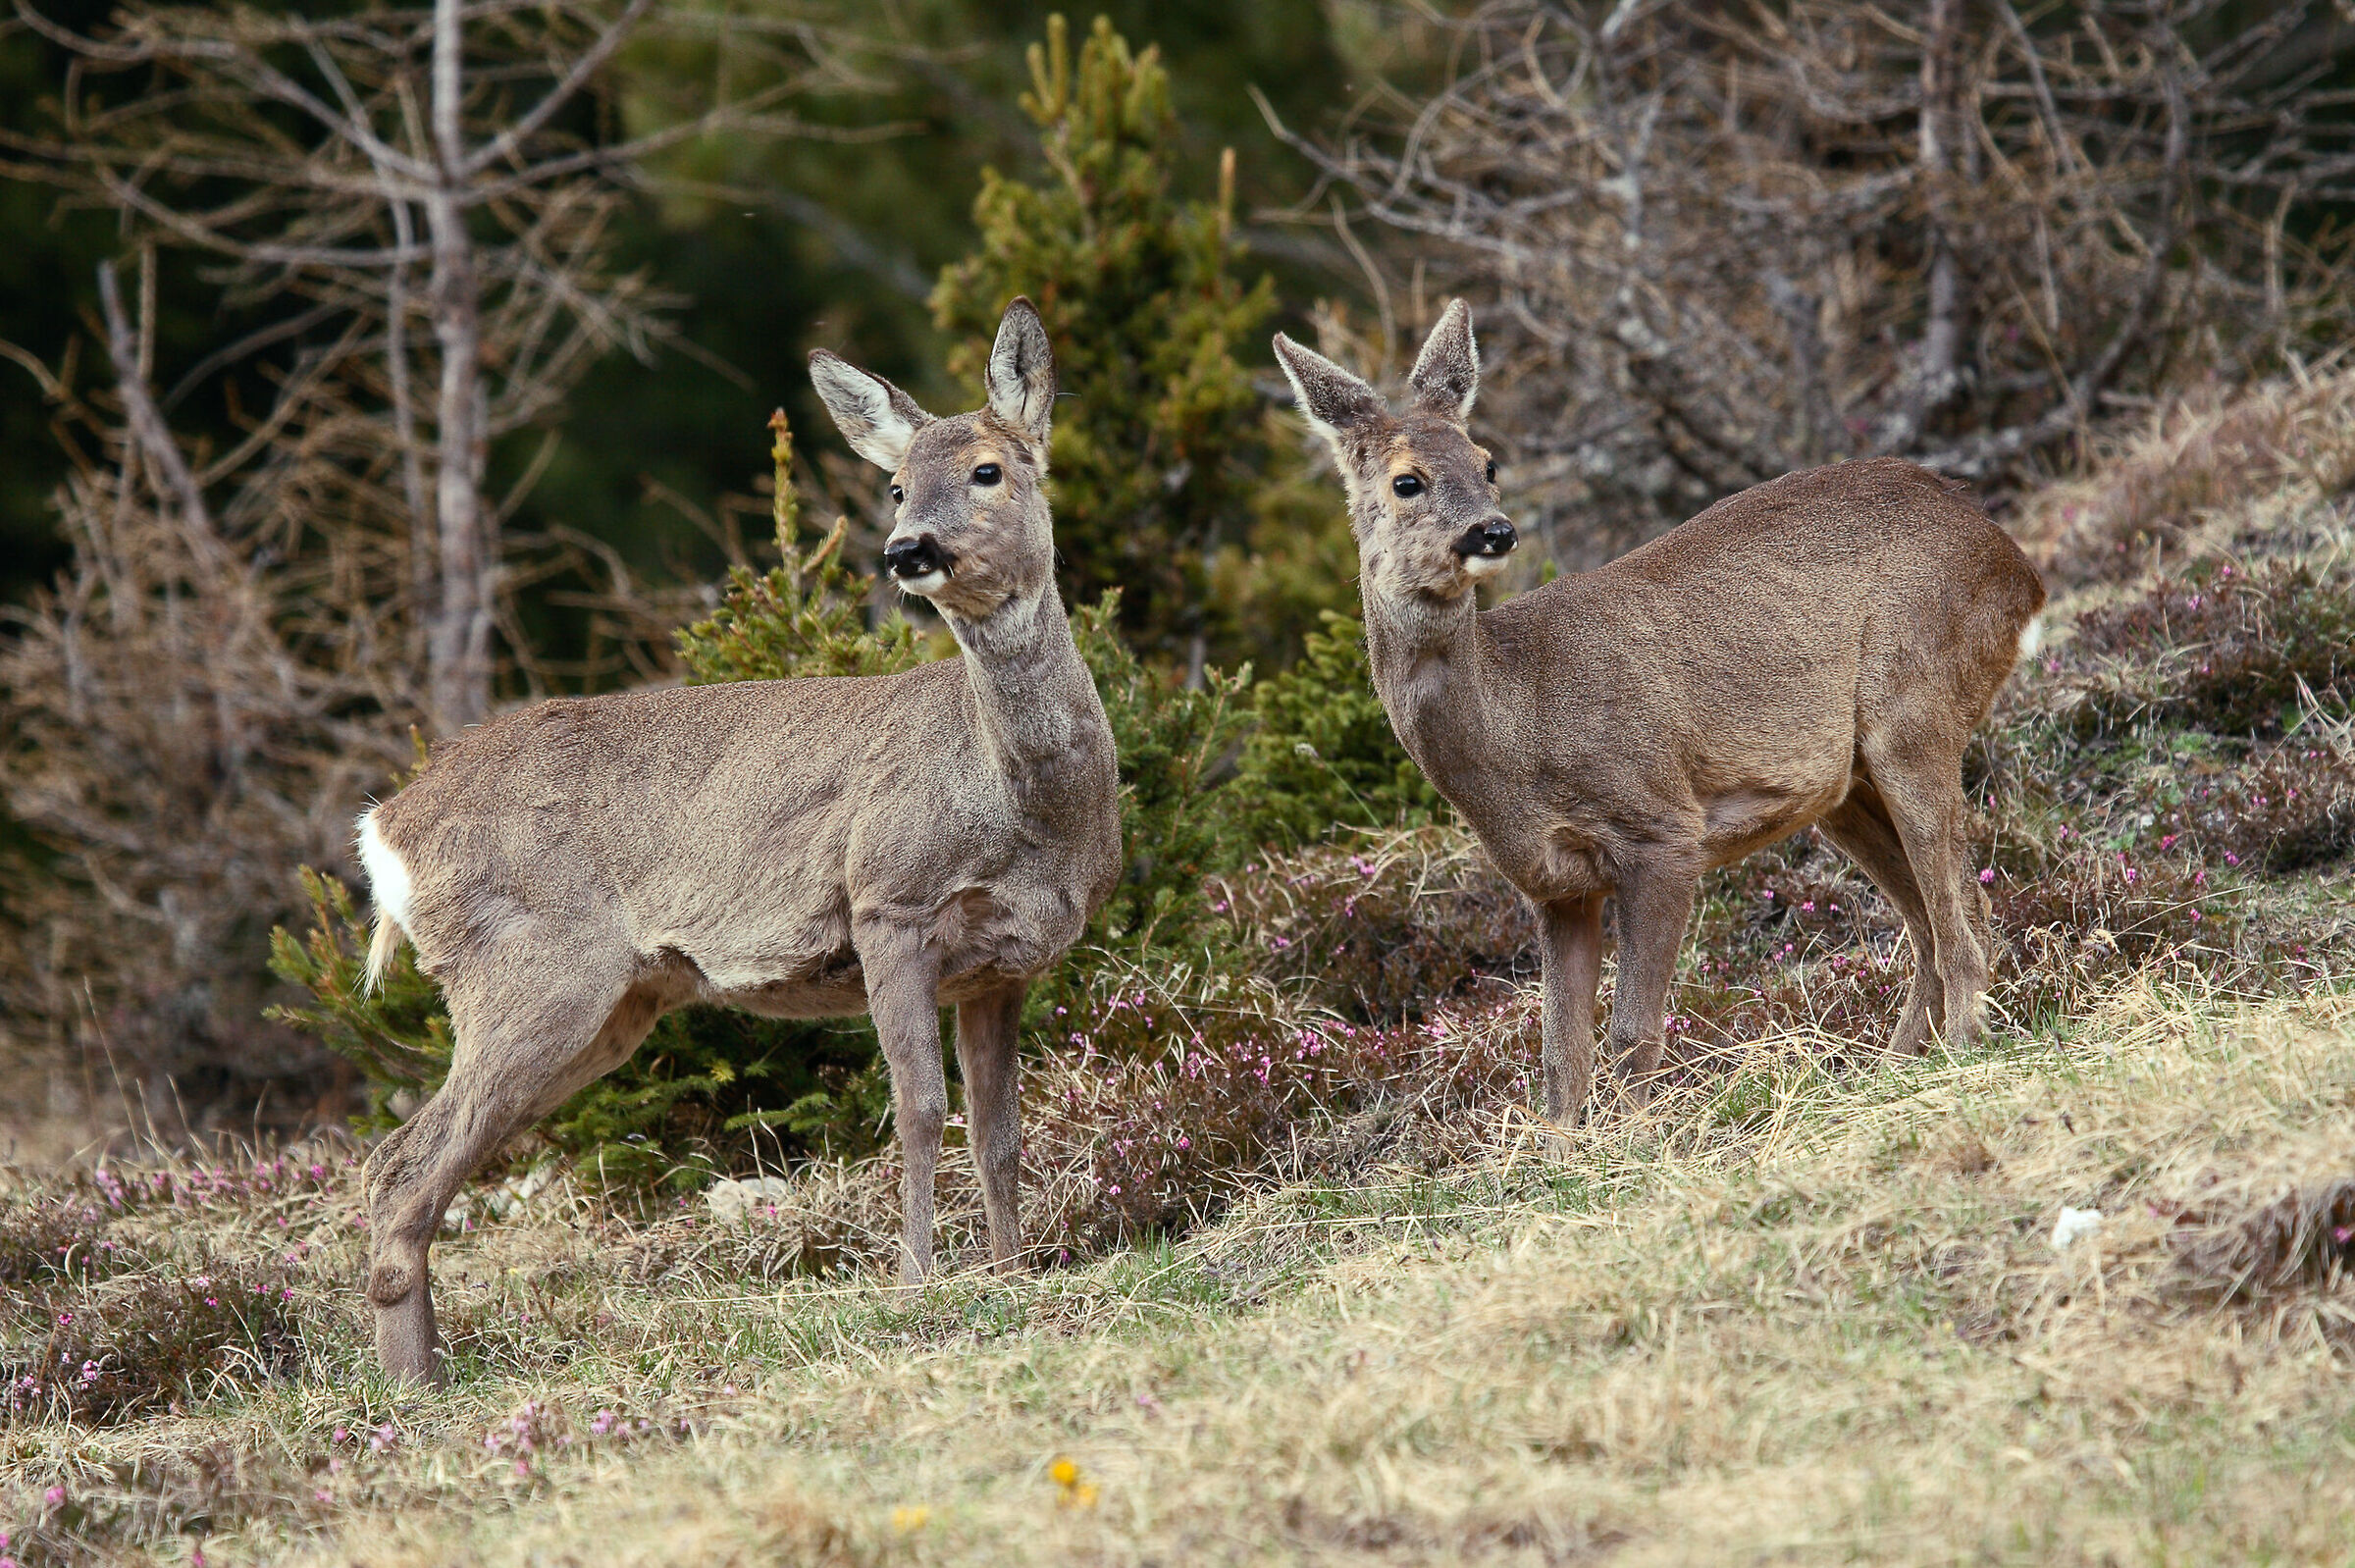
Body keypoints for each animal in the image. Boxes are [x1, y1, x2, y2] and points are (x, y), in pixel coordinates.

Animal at [350, 298, 1121, 1382]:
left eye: (987, 469)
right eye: (895, 484)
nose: (908, 549)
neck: (1019, 804)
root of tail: (386, 829)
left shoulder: (1002, 965)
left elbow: (1000, 1131)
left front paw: (1017, 1273)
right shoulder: (887, 903)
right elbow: (920, 1109)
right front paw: (917, 1285)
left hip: (612, 1005)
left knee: (410, 1162)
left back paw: (424, 1375)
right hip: (533, 971)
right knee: (400, 1162)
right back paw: (415, 1383)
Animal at [1271, 302, 2046, 1124]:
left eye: (1488, 463)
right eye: (1406, 481)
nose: (1494, 530)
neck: (1517, 728)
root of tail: (2019, 568)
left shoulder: (1662, 828)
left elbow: (1633, 1033)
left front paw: (1645, 1139)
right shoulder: (1556, 887)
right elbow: (1559, 1060)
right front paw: (1570, 1147)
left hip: (1915, 703)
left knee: (1962, 919)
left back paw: (1962, 1057)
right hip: (1844, 786)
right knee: (1935, 922)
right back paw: (1885, 1075)